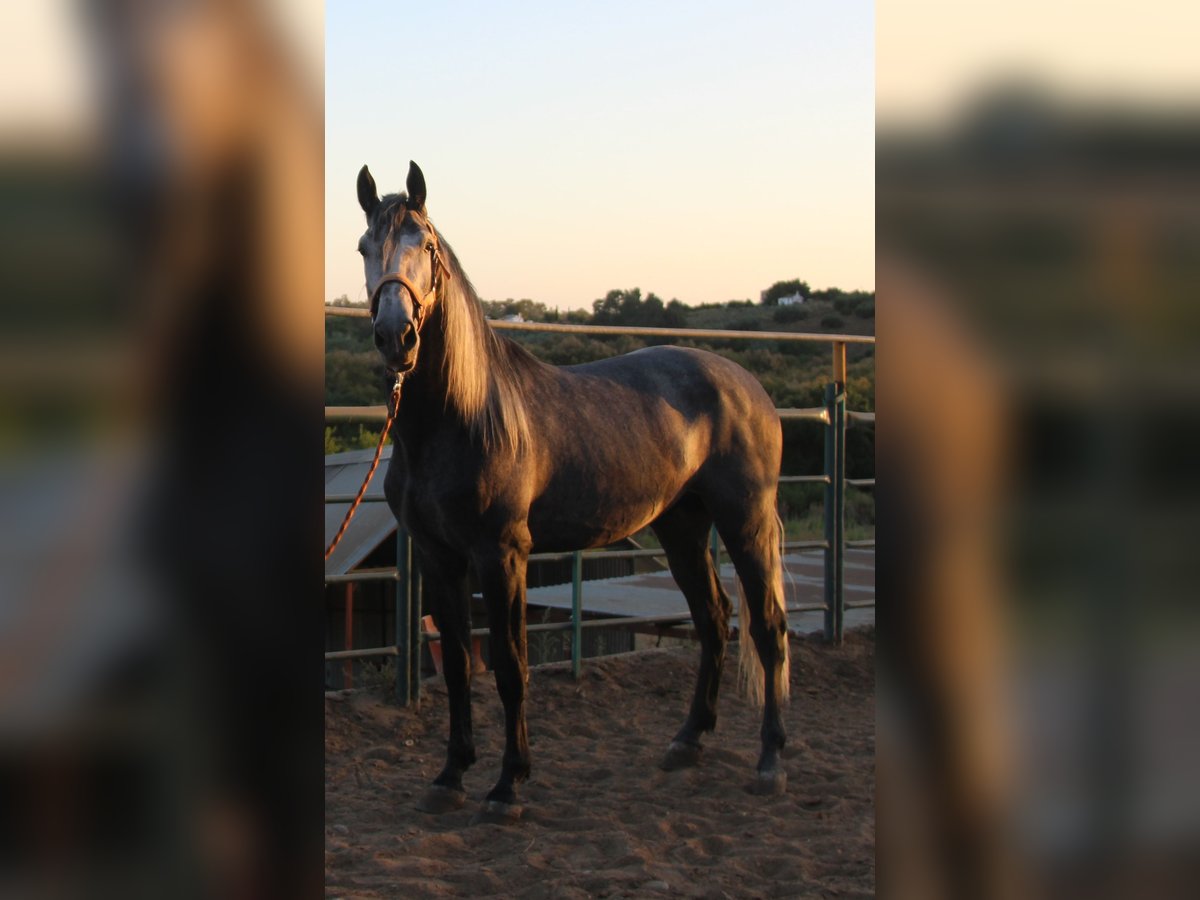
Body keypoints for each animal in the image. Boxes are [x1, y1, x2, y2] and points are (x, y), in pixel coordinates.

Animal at [350, 162, 792, 825]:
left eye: (425, 246)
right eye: (363, 247)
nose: (395, 335)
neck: (459, 418)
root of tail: (748, 384)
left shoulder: (502, 555)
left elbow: (510, 664)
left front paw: (508, 786)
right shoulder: (438, 557)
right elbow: (456, 667)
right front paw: (450, 776)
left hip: (746, 521)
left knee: (767, 627)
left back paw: (770, 763)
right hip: (682, 526)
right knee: (714, 618)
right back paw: (686, 743)